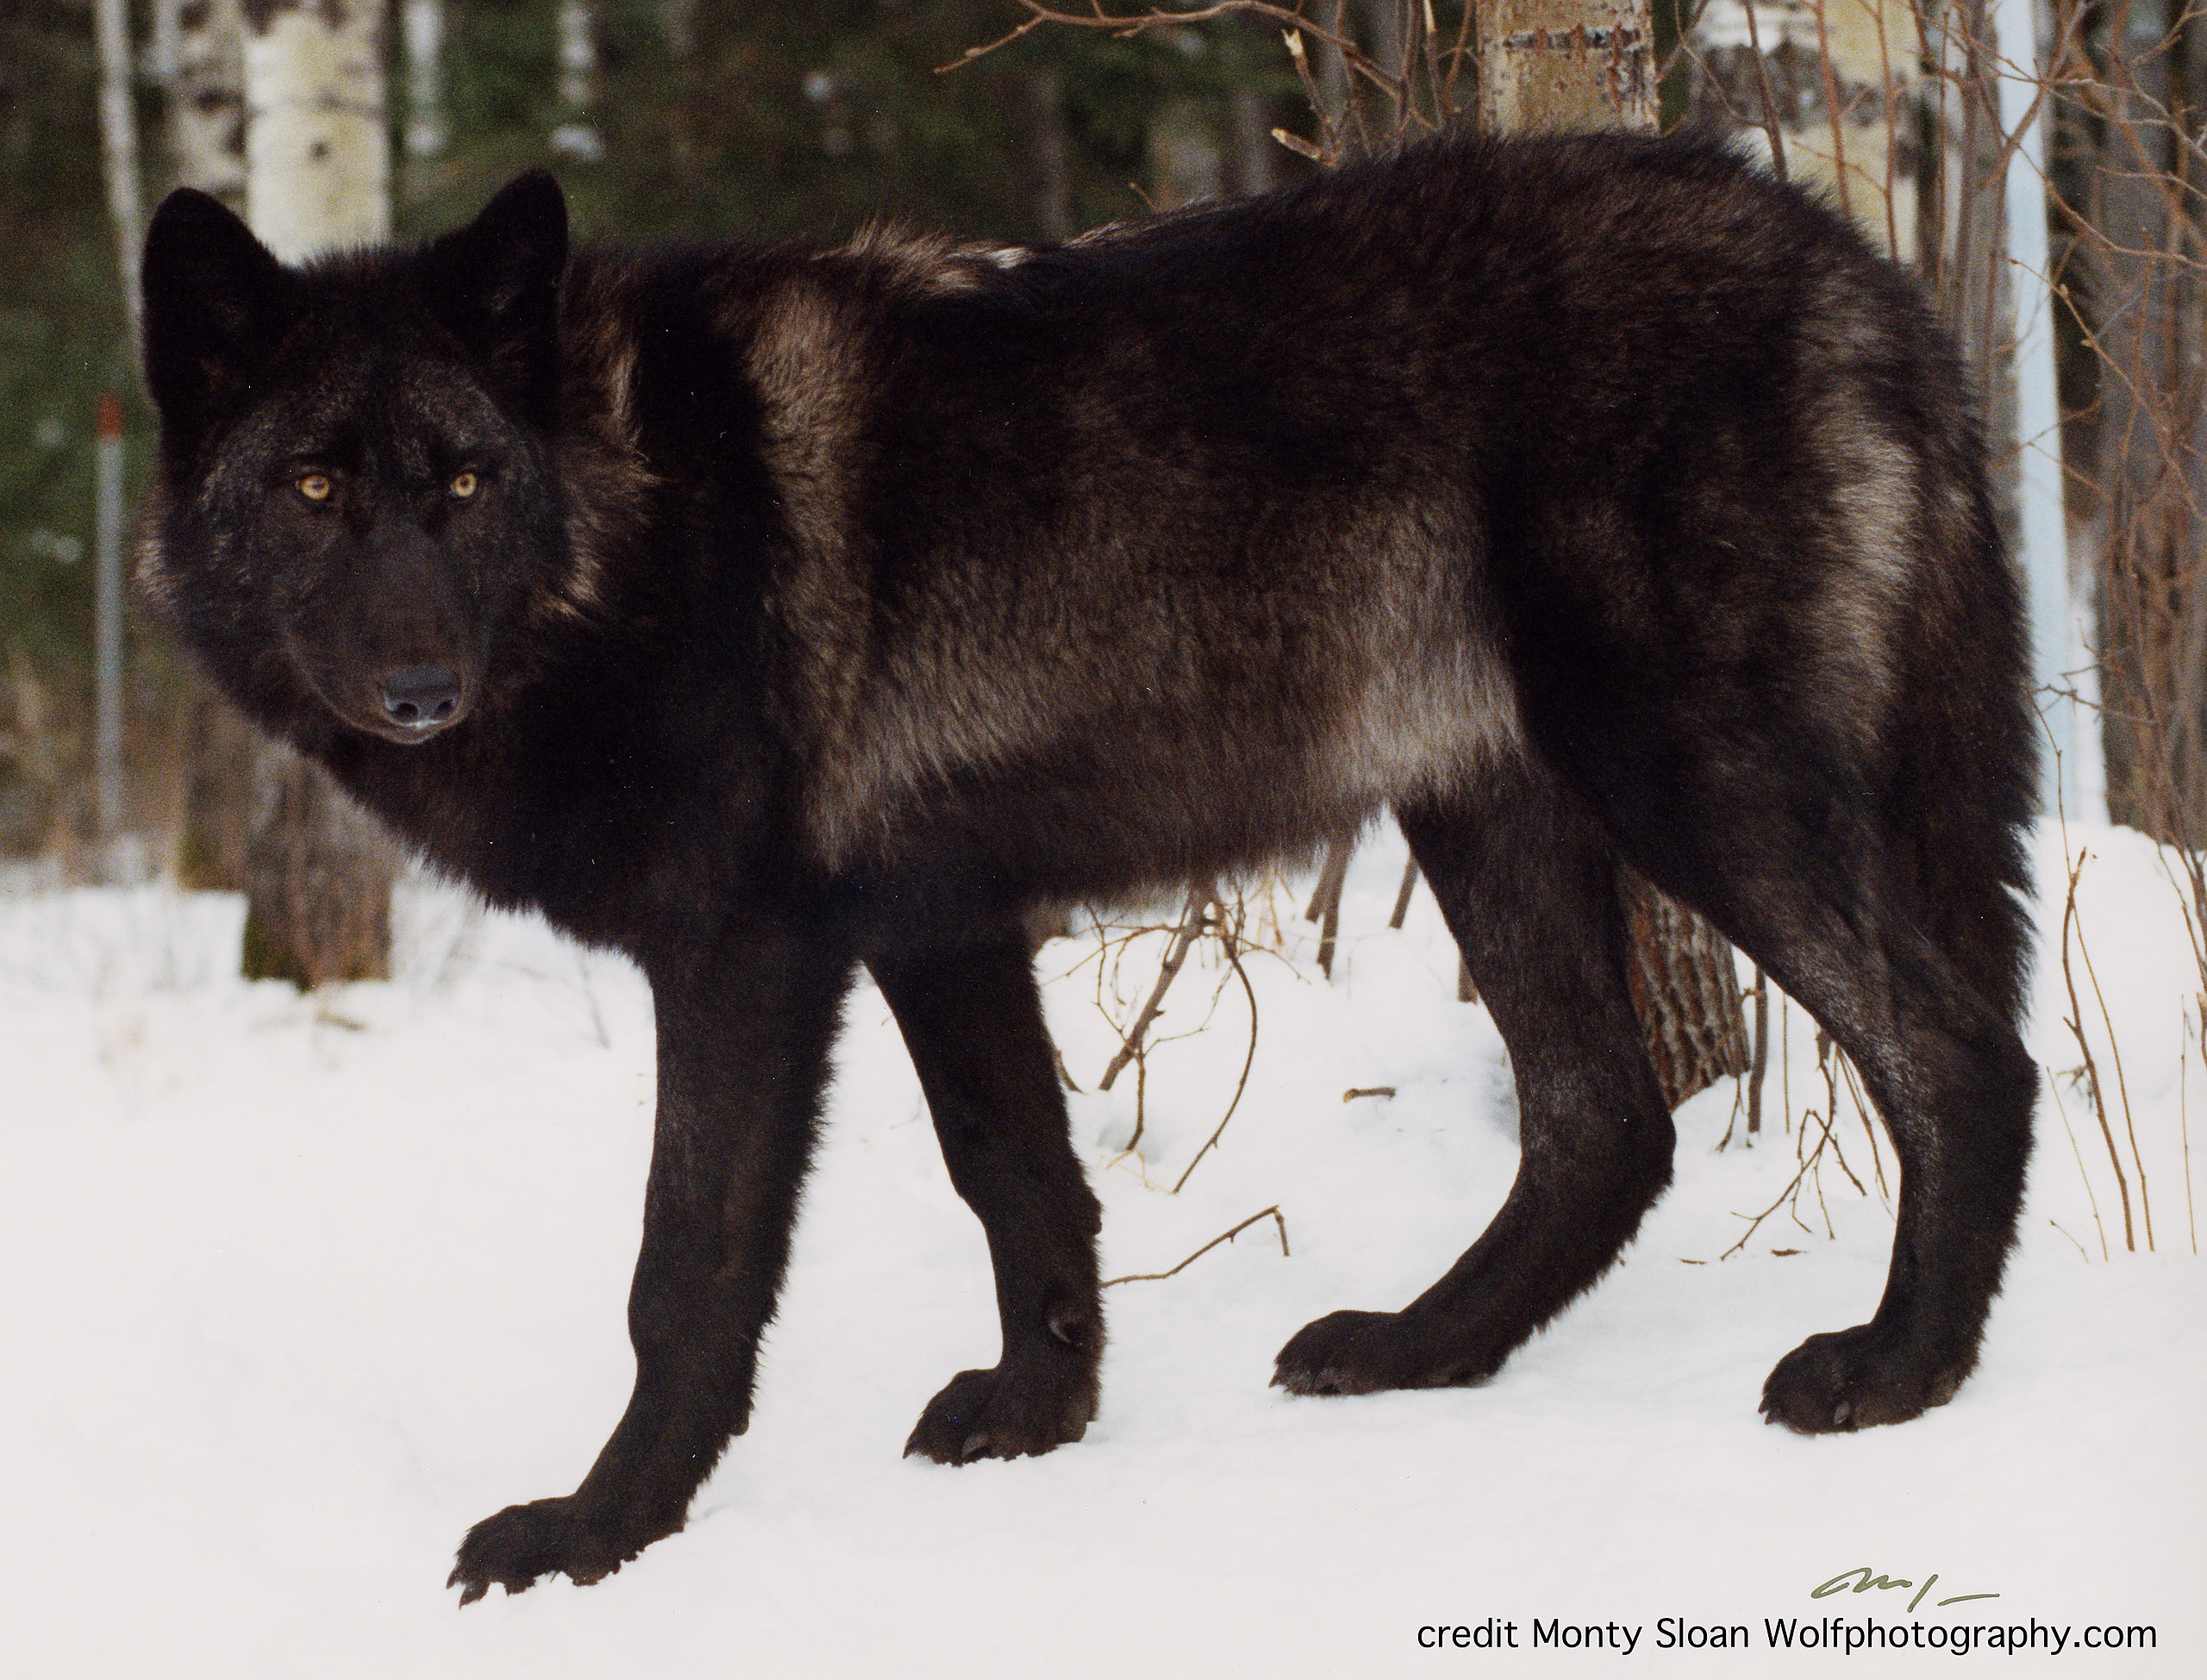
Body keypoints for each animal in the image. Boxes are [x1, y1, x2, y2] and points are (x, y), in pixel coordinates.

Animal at [136, 131, 2037, 1603]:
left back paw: (1899, 1370)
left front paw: (600, 1532)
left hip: (1686, 776)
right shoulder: (939, 923)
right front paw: (1036, 1414)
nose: (417, 688)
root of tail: (1855, 264)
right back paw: (1416, 1347)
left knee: (1959, 1050)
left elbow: (683, 1271)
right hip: (1489, 810)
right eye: (314, 487)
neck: (631, 514)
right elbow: (1020, 1177)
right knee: (1604, 1119)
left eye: (462, 483)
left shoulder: (745, 954)